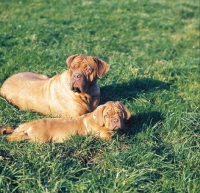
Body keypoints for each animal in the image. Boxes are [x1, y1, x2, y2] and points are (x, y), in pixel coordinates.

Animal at [1, 101, 132, 142]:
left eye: (120, 113)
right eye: (106, 115)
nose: (116, 121)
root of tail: (30, 123)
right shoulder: (102, 134)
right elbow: (111, 136)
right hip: (39, 139)